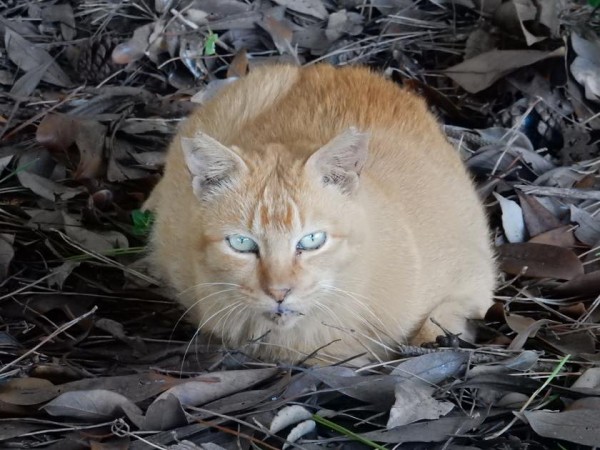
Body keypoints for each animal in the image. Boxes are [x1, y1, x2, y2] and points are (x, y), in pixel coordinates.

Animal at [145, 63, 496, 364]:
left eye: (312, 240)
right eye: (241, 244)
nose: (279, 292)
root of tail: (323, 68)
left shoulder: (475, 278)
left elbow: (437, 323)